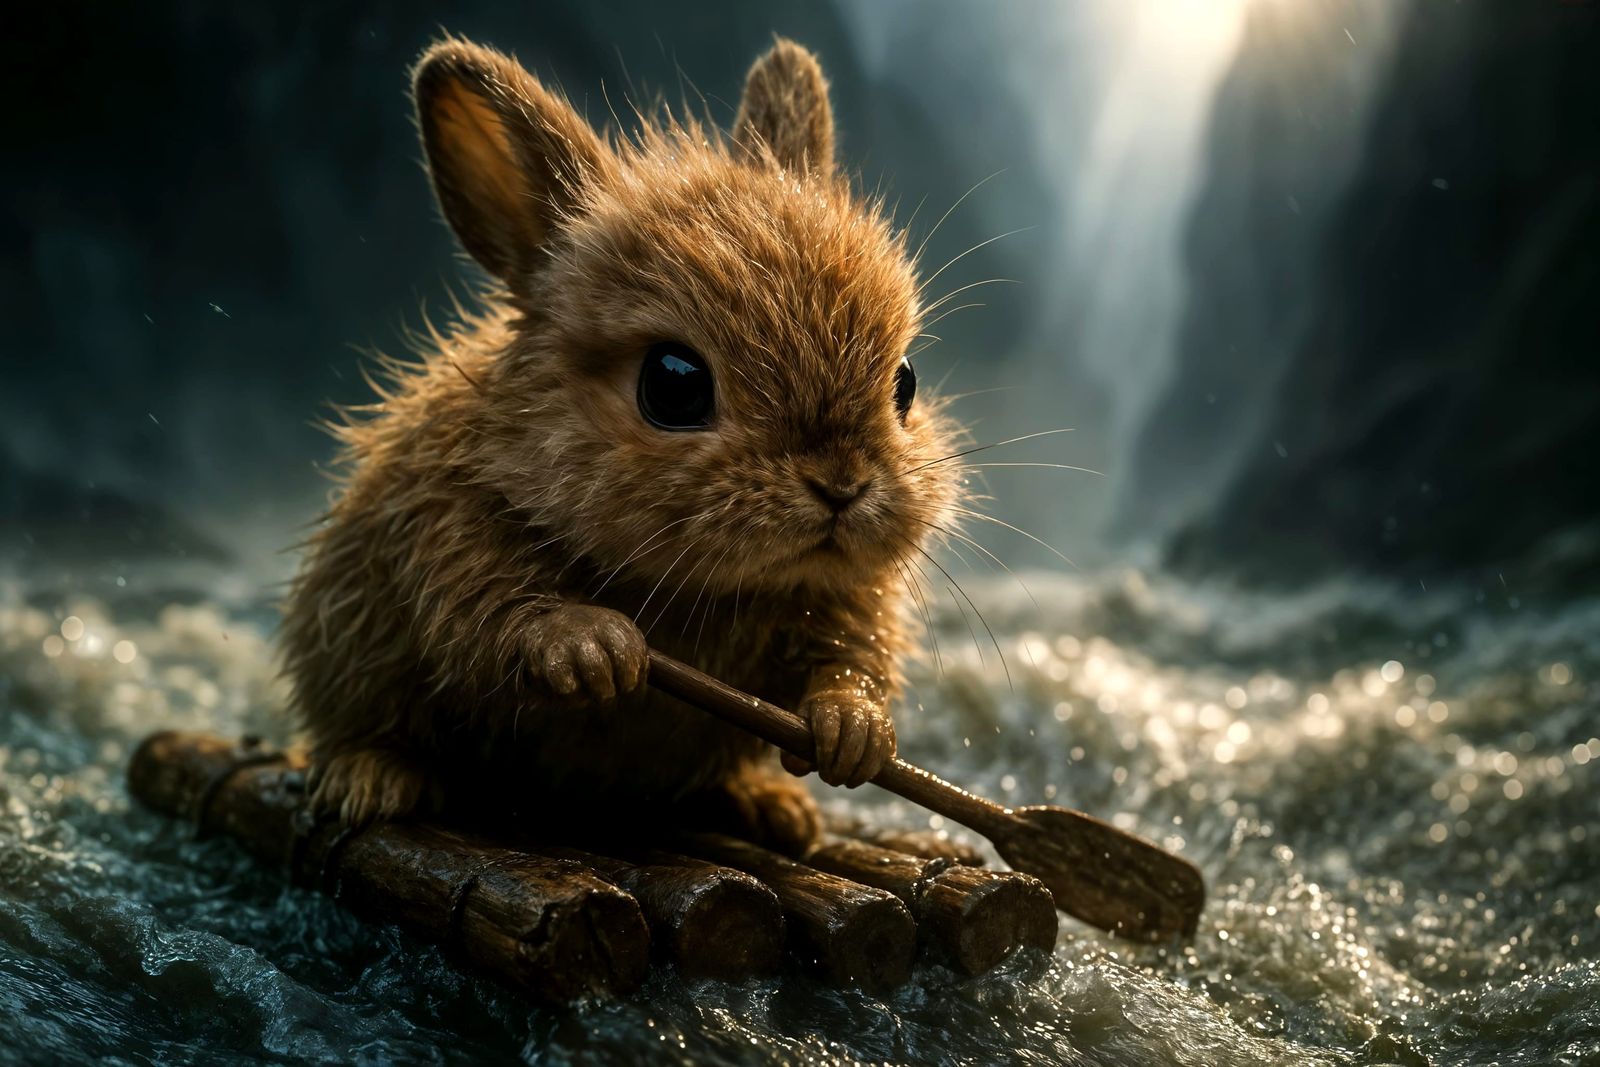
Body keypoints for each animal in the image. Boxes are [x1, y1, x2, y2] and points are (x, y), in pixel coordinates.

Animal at [278, 34, 965, 854]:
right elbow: (488, 611)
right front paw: (591, 647)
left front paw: (853, 730)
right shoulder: (444, 525)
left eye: (905, 381)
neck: (708, 587)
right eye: (673, 383)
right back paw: (369, 778)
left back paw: (769, 807)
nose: (843, 486)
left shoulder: (842, 599)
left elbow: (848, 655)